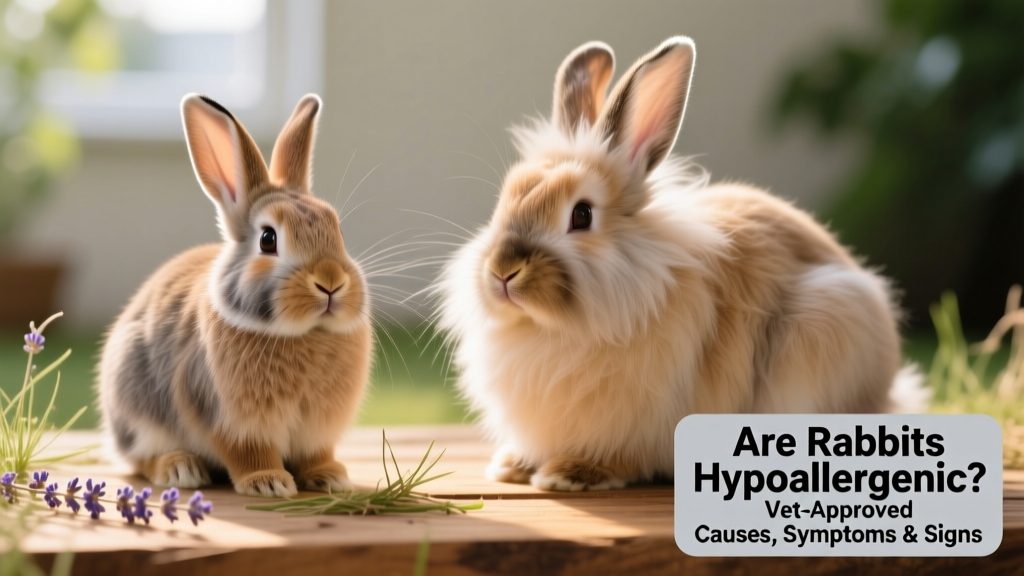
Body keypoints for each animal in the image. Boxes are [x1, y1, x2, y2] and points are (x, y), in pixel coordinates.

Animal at [97, 93, 373, 498]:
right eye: (268, 239)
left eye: (337, 228)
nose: (331, 282)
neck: (304, 333)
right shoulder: (228, 420)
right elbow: (248, 454)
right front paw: (269, 482)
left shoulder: (315, 431)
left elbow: (315, 454)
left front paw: (330, 477)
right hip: (134, 404)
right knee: (140, 460)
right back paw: (180, 468)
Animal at [437, 37, 927, 492]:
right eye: (504, 200)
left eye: (581, 215)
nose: (502, 271)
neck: (548, 330)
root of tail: (887, 394)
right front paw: (511, 467)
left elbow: (621, 457)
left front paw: (569, 474)